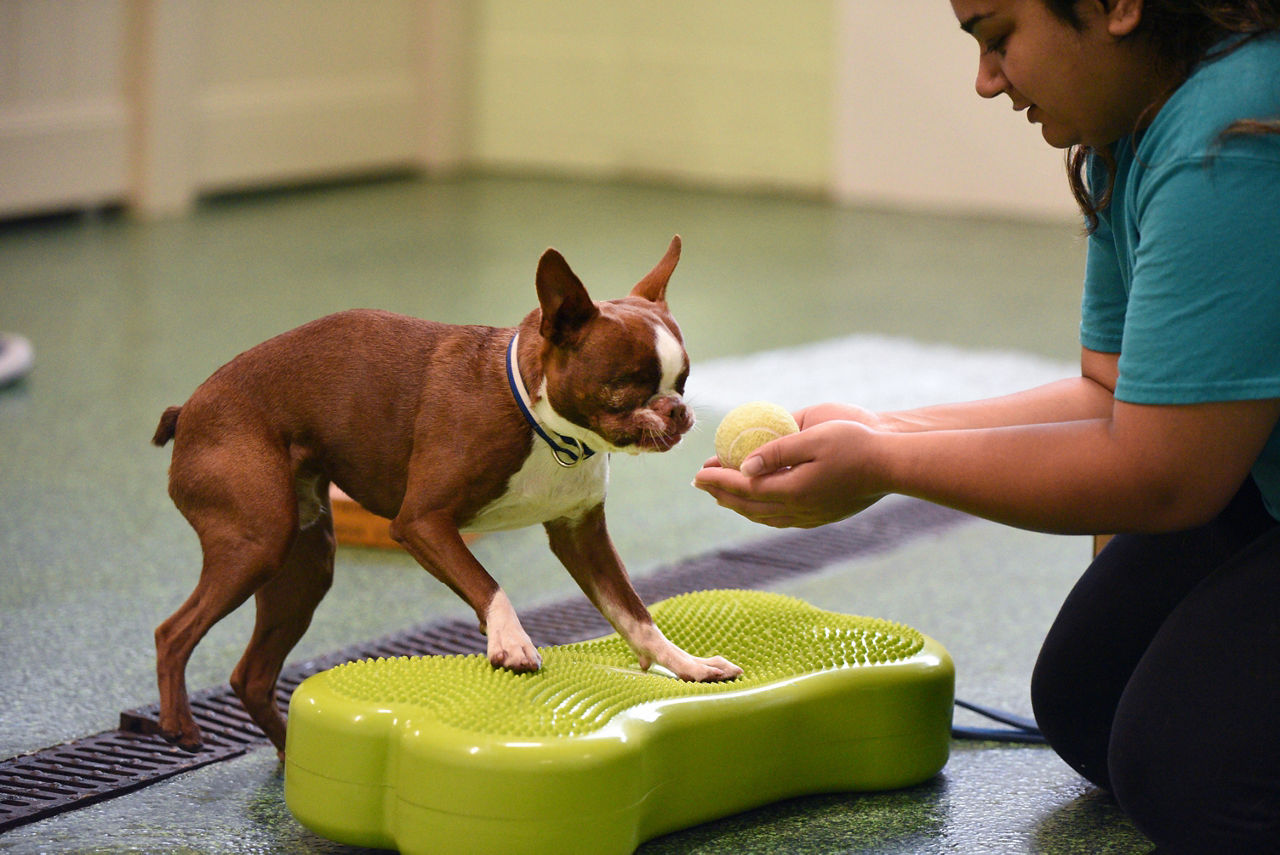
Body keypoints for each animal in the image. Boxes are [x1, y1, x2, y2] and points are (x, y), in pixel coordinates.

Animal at [152, 235, 742, 752]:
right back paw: (180, 725)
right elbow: (487, 583)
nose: (677, 410)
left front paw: (686, 665)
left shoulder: (580, 535)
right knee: (173, 632)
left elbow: (634, 613)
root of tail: (189, 407)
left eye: (683, 382)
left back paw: (286, 753)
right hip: (258, 542)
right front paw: (511, 640)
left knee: (250, 674)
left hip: (304, 563)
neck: (548, 429)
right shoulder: (421, 522)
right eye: (627, 384)